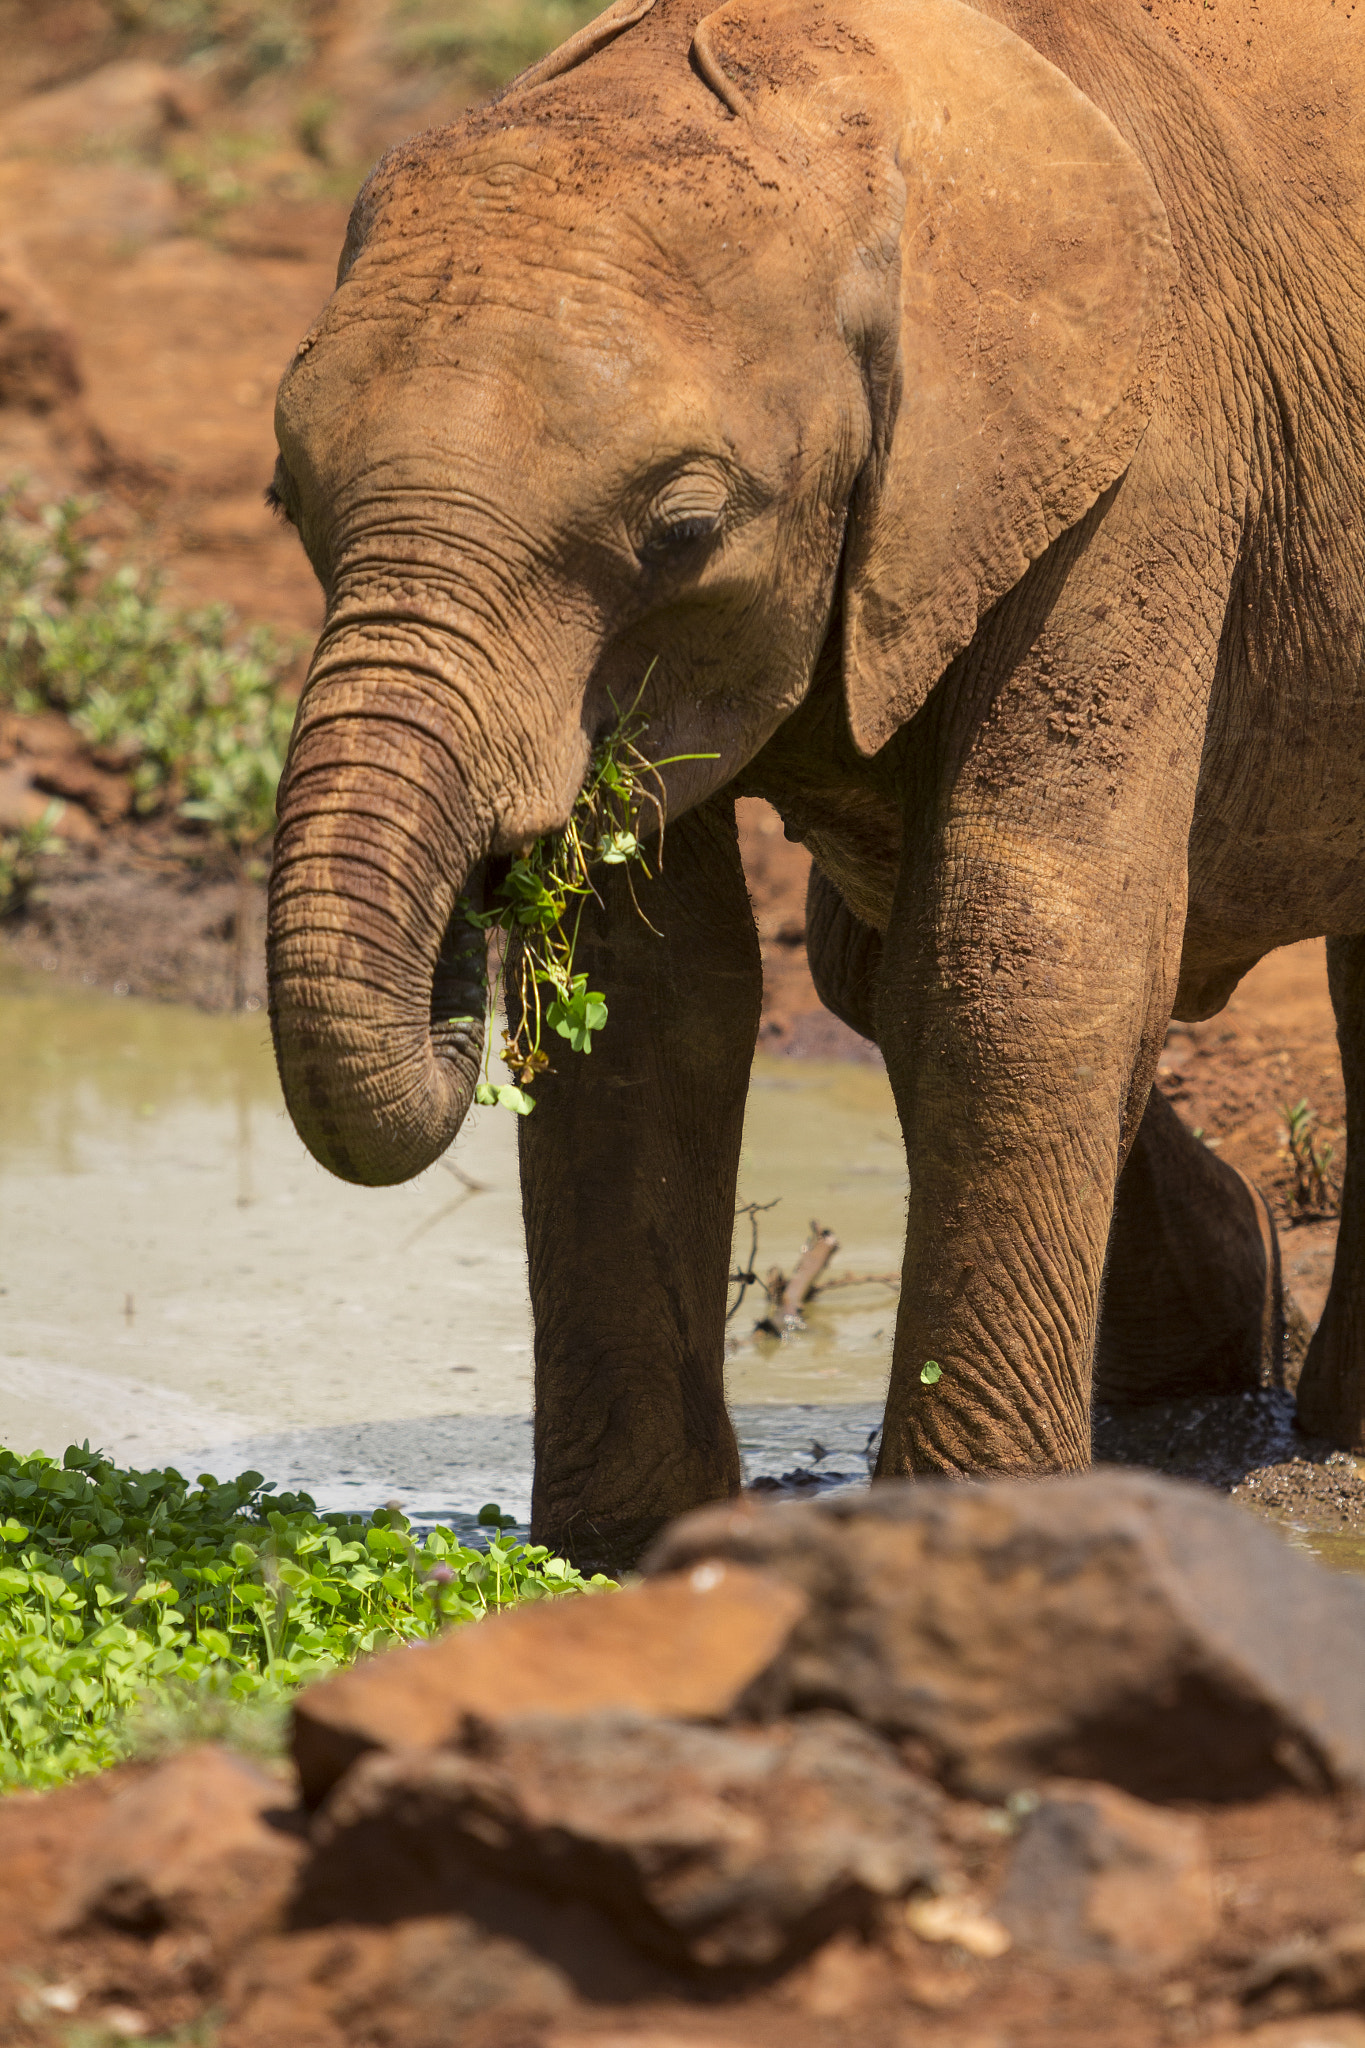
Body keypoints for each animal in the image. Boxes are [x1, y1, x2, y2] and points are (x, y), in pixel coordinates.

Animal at [263, 0, 1365, 1564]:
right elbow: (661, 987)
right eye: (288, 500)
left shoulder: (1150, 469)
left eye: (681, 529)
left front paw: (962, 1535)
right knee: (857, 957)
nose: (488, 878)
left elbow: (1022, 956)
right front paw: (619, 1551)